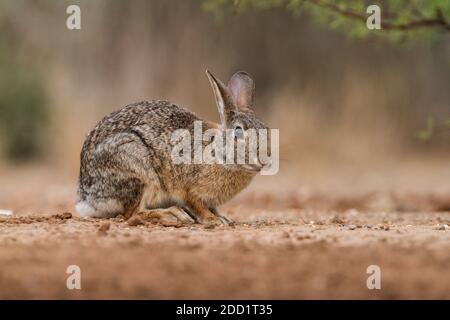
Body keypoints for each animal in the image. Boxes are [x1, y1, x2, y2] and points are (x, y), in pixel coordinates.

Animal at [75, 70, 268, 225]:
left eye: (265, 128)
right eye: (238, 132)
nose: (264, 160)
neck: (217, 152)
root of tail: (87, 198)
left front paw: (223, 218)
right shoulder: (187, 189)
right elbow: (197, 205)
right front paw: (213, 220)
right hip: (137, 168)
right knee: (133, 213)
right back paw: (173, 214)